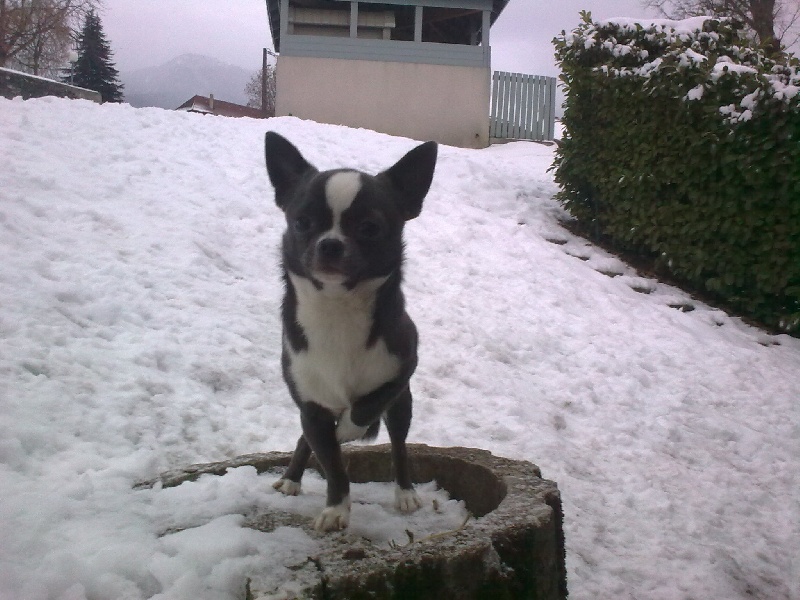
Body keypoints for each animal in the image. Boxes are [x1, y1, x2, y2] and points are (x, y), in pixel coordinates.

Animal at [263, 132, 437, 532]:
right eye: (302, 222)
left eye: (370, 228)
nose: (330, 243)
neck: (337, 307)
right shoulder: (310, 404)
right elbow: (331, 463)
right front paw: (336, 509)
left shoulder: (402, 368)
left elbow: (365, 409)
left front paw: (348, 429)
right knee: (306, 440)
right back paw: (291, 479)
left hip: (402, 407)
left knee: (399, 446)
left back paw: (405, 493)